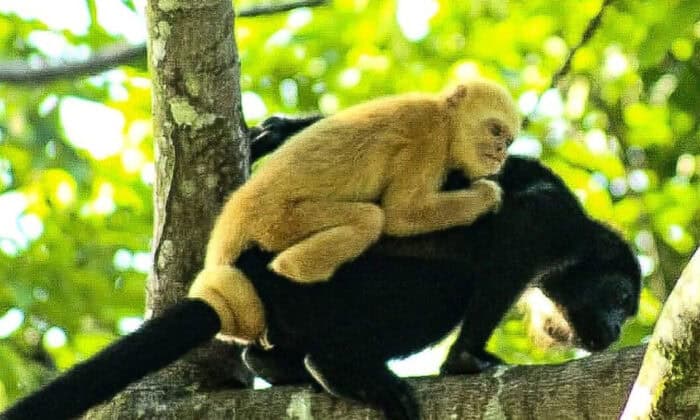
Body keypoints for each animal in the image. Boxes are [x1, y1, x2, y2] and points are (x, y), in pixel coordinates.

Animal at [2, 116, 639, 420]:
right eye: (620, 300)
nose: (614, 330)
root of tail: (253, 274)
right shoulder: (552, 222)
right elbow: (508, 245)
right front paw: (465, 360)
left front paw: (279, 130)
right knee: (448, 287)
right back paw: (332, 367)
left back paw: (280, 366)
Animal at [188, 79, 520, 344]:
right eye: (495, 130)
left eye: (508, 140)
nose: (500, 152)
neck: (445, 119)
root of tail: (235, 210)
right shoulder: (428, 138)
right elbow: (402, 214)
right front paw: (487, 195)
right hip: (276, 221)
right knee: (370, 218)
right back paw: (293, 268)